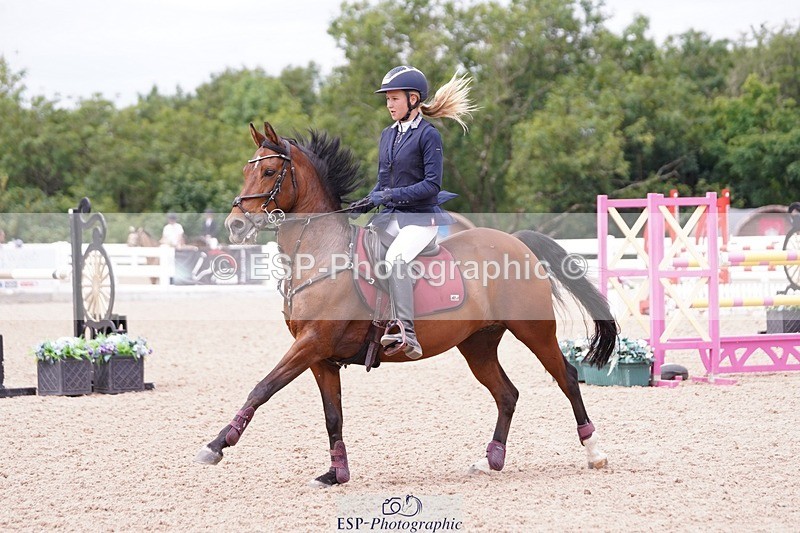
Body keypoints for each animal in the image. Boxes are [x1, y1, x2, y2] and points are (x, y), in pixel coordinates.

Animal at [194, 122, 618, 486]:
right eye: (247, 171)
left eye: (268, 172)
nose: (234, 225)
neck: (321, 255)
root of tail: (515, 241)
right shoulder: (320, 356)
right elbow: (333, 416)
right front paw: (335, 474)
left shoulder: (311, 343)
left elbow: (262, 388)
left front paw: (216, 446)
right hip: (478, 343)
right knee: (506, 394)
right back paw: (491, 460)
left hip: (534, 330)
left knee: (566, 377)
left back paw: (594, 452)